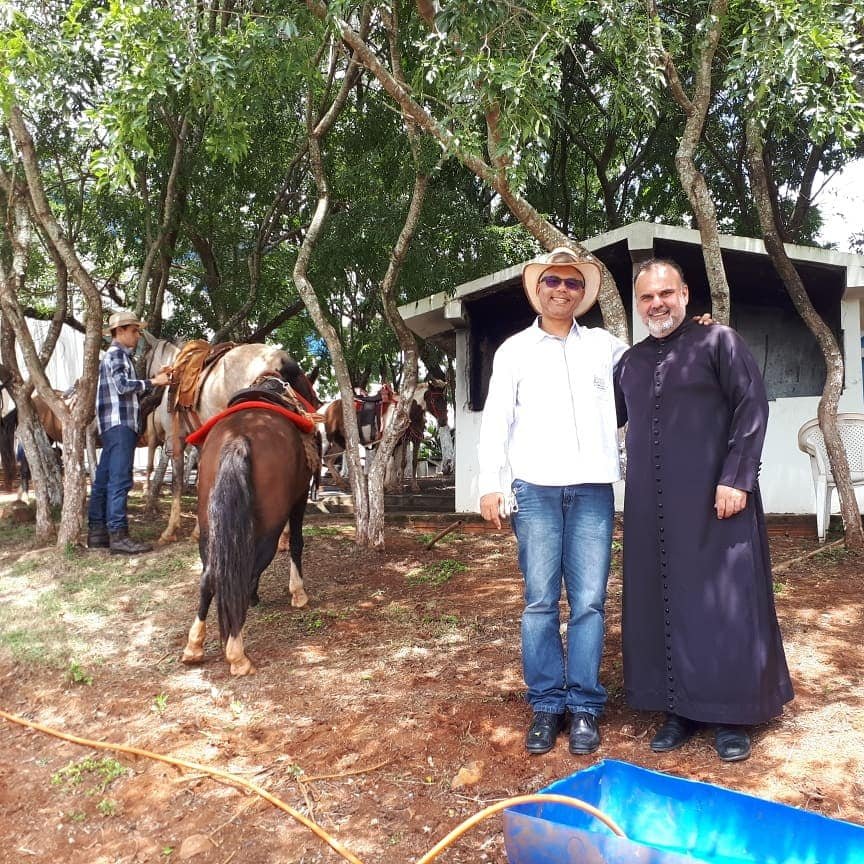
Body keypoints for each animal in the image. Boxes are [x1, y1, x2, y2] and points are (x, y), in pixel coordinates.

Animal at [180, 386, 318, 676]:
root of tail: (238, 438)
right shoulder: (299, 497)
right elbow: (297, 543)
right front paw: (298, 593)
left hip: (210, 528)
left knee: (210, 577)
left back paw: (195, 646)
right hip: (269, 528)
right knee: (247, 567)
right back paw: (237, 653)